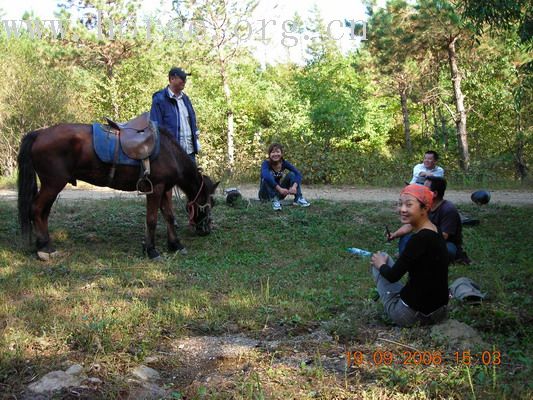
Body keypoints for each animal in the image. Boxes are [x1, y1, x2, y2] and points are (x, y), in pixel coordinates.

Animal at [18, 126, 218, 262]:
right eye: (212, 202)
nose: (206, 230)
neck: (169, 152)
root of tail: (39, 134)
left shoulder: (165, 189)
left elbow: (169, 216)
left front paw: (175, 245)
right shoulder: (156, 189)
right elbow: (152, 220)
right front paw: (151, 250)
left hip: (52, 186)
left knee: (43, 213)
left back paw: (44, 244)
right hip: (52, 184)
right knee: (36, 209)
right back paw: (44, 248)